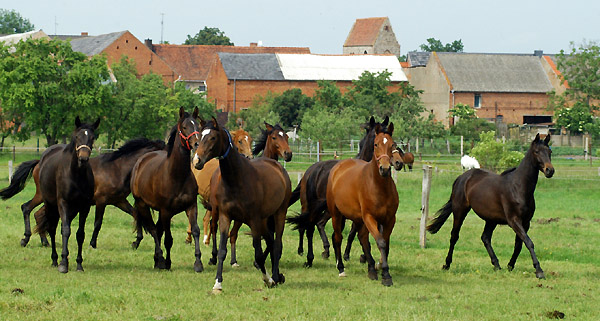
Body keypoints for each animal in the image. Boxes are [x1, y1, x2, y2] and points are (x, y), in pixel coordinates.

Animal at [34, 116, 99, 272]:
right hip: (50, 205)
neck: (76, 175)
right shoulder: (63, 203)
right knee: (52, 229)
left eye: (92, 138)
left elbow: (80, 234)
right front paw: (63, 263)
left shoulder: (84, 207)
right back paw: (55, 259)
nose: (83, 159)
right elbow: (65, 230)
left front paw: (79, 263)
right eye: (77, 137)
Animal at [130, 106, 203, 272]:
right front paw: (167, 262)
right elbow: (168, 239)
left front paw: (198, 262)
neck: (177, 176)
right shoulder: (166, 211)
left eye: (197, 126)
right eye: (184, 127)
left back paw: (157, 260)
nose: (197, 144)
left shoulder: (191, 206)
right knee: (153, 230)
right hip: (143, 205)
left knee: (158, 230)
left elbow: (195, 230)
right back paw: (160, 259)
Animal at [195, 118, 290, 292]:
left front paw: (268, 279)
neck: (236, 179)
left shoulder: (254, 220)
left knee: (277, 244)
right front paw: (217, 283)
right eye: (200, 137)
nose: (197, 160)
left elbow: (259, 254)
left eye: (213, 138)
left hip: (279, 213)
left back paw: (275, 276)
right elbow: (223, 250)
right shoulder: (226, 216)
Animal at [326, 122, 396, 284]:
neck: (378, 187)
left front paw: (381, 270)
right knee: (338, 237)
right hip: (336, 214)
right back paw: (341, 268)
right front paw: (386, 275)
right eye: (376, 144)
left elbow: (385, 243)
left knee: (362, 238)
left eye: (392, 144)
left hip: (357, 219)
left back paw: (371, 269)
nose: (384, 169)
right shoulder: (369, 217)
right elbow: (380, 242)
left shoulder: (390, 219)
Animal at [428, 132, 556, 278]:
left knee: (485, 238)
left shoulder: (526, 222)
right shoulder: (514, 220)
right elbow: (529, 242)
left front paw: (510, 266)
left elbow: (519, 244)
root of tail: (462, 178)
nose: (549, 170)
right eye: (536, 152)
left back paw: (497, 265)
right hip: (460, 211)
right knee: (454, 236)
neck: (518, 187)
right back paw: (447, 264)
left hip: (491, 219)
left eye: (549, 151)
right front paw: (539, 271)